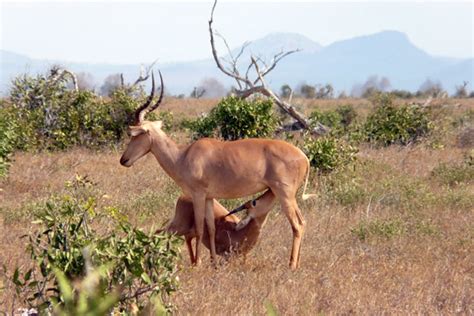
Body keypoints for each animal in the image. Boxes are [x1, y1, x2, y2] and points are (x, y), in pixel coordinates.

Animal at [119, 71, 314, 270]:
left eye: (135, 134)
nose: (124, 160)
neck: (183, 155)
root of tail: (304, 157)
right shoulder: (209, 198)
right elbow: (210, 228)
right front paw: (213, 263)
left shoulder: (198, 195)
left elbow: (199, 228)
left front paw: (197, 264)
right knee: (303, 222)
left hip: (284, 194)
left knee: (297, 224)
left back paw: (292, 265)